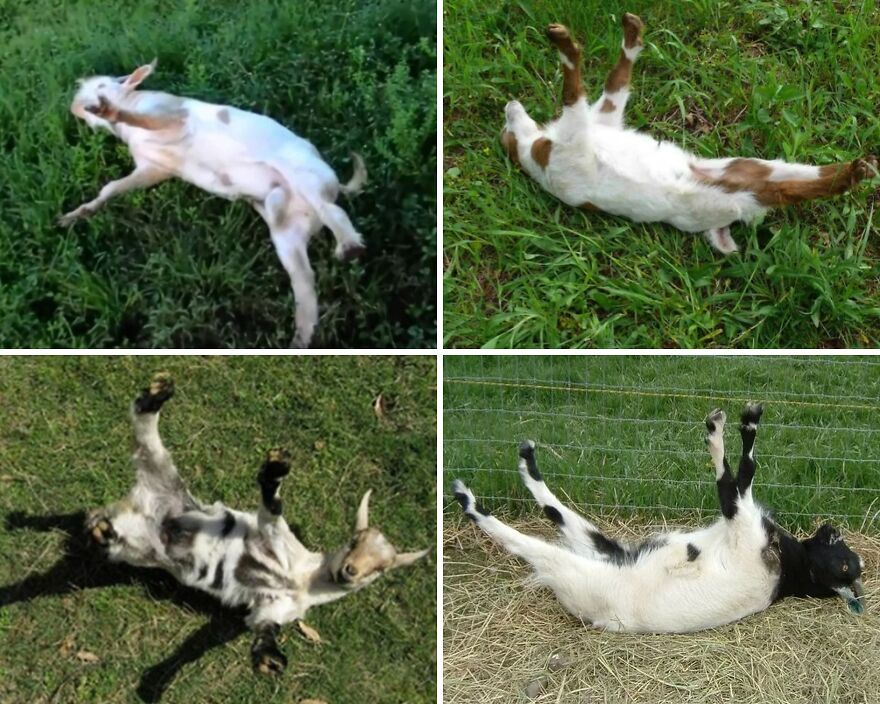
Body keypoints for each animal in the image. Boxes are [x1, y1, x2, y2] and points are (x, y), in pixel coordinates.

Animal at [60, 61, 368, 348]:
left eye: (102, 85)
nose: (74, 106)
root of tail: (335, 184)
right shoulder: (151, 169)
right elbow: (111, 187)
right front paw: (72, 217)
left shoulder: (171, 117)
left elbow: (139, 118)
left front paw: (107, 111)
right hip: (287, 234)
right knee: (305, 284)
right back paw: (299, 341)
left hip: (303, 176)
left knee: (333, 211)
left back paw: (349, 246)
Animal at [88, 374, 429, 674]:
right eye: (354, 540)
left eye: (382, 569)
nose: (350, 571)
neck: (302, 579)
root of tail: (139, 503)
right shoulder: (272, 534)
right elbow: (272, 509)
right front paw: (275, 470)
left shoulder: (274, 607)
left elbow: (262, 627)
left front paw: (268, 659)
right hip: (163, 473)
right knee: (145, 428)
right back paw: (157, 396)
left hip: (137, 545)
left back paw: (103, 530)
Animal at [452, 404, 866, 633]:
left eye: (845, 565)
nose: (831, 528)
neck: (787, 569)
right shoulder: (737, 521)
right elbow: (738, 476)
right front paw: (733, 423)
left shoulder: (741, 521)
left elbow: (740, 475)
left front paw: (734, 425)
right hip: (610, 548)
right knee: (556, 511)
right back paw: (526, 461)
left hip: (582, 570)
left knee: (529, 544)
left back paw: (467, 497)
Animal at [501, 14, 879, 254]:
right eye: (506, 137)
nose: (508, 106)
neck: (537, 150)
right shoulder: (576, 140)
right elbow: (573, 88)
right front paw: (567, 43)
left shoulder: (599, 119)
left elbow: (613, 83)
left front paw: (631, 36)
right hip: (745, 191)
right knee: (791, 190)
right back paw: (853, 175)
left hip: (747, 166)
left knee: (800, 178)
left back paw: (858, 168)